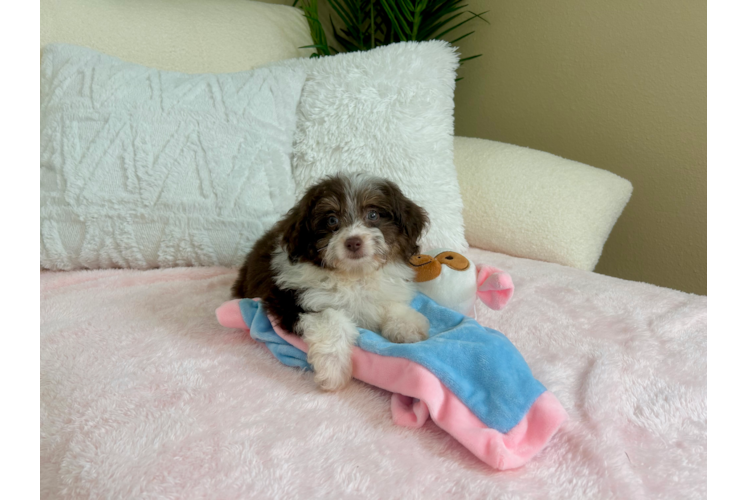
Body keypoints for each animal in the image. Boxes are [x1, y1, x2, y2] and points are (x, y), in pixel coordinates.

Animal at [234, 175, 432, 390]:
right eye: (331, 220)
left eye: (373, 215)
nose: (353, 242)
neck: (353, 275)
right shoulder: (290, 300)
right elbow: (331, 318)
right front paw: (333, 370)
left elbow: (390, 303)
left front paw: (408, 326)